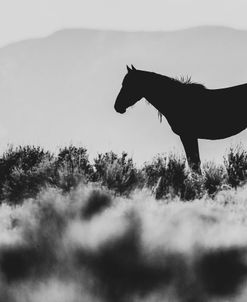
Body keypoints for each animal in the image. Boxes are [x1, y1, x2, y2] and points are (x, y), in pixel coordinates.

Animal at [115, 64, 247, 171]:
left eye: (129, 84)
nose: (117, 106)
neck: (179, 99)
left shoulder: (187, 135)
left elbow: (194, 164)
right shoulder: (190, 136)